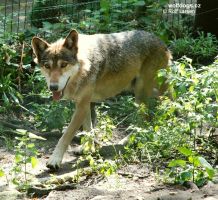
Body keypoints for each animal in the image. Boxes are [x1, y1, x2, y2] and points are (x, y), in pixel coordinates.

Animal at [31, 29, 172, 170]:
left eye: (63, 65)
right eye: (47, 66)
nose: (53, 87)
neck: (84, 66)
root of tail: (162, 43)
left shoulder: (81, 106)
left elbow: (66, 135)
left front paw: (55, 159)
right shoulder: (84, 104)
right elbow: (88, 129)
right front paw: (87, 148)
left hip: (142, 93)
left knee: (147, 119)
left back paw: (130, 140)